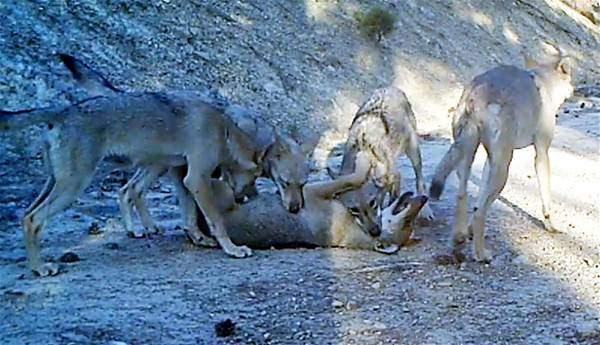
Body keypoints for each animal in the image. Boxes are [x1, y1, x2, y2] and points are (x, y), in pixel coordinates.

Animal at [0, 90, 262, 276]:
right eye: (255, 179)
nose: (250, 198)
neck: (224, 131)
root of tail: (63, 110)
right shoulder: (196, 178)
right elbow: (217, 221)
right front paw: (233, 249)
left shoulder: (182, 177)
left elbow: (189, 216)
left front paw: (199, 239)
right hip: (74, 186)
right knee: (34, 219)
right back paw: (40, 268)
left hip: (58, 183)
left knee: (26, 215)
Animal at [57, 54, 310, 242]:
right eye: (285, 183)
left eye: (303, 184)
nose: (296, 209)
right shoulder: (205, 172)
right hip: (159, 167)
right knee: (131, 190)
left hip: (156, 167)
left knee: (129, 190)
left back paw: (142, 228)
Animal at [428, 45, 576, 260]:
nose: (574, 90)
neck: (545, 83)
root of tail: (476, 93)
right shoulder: (541, 153)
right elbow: (546, 197)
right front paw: (551, 225)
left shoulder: (490, 161)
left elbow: (479, 198)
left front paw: (469, 231)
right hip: (504, 169)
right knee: (480, 213)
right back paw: (481, 255)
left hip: (468, 158)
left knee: (463, 196)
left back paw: (459, 238)